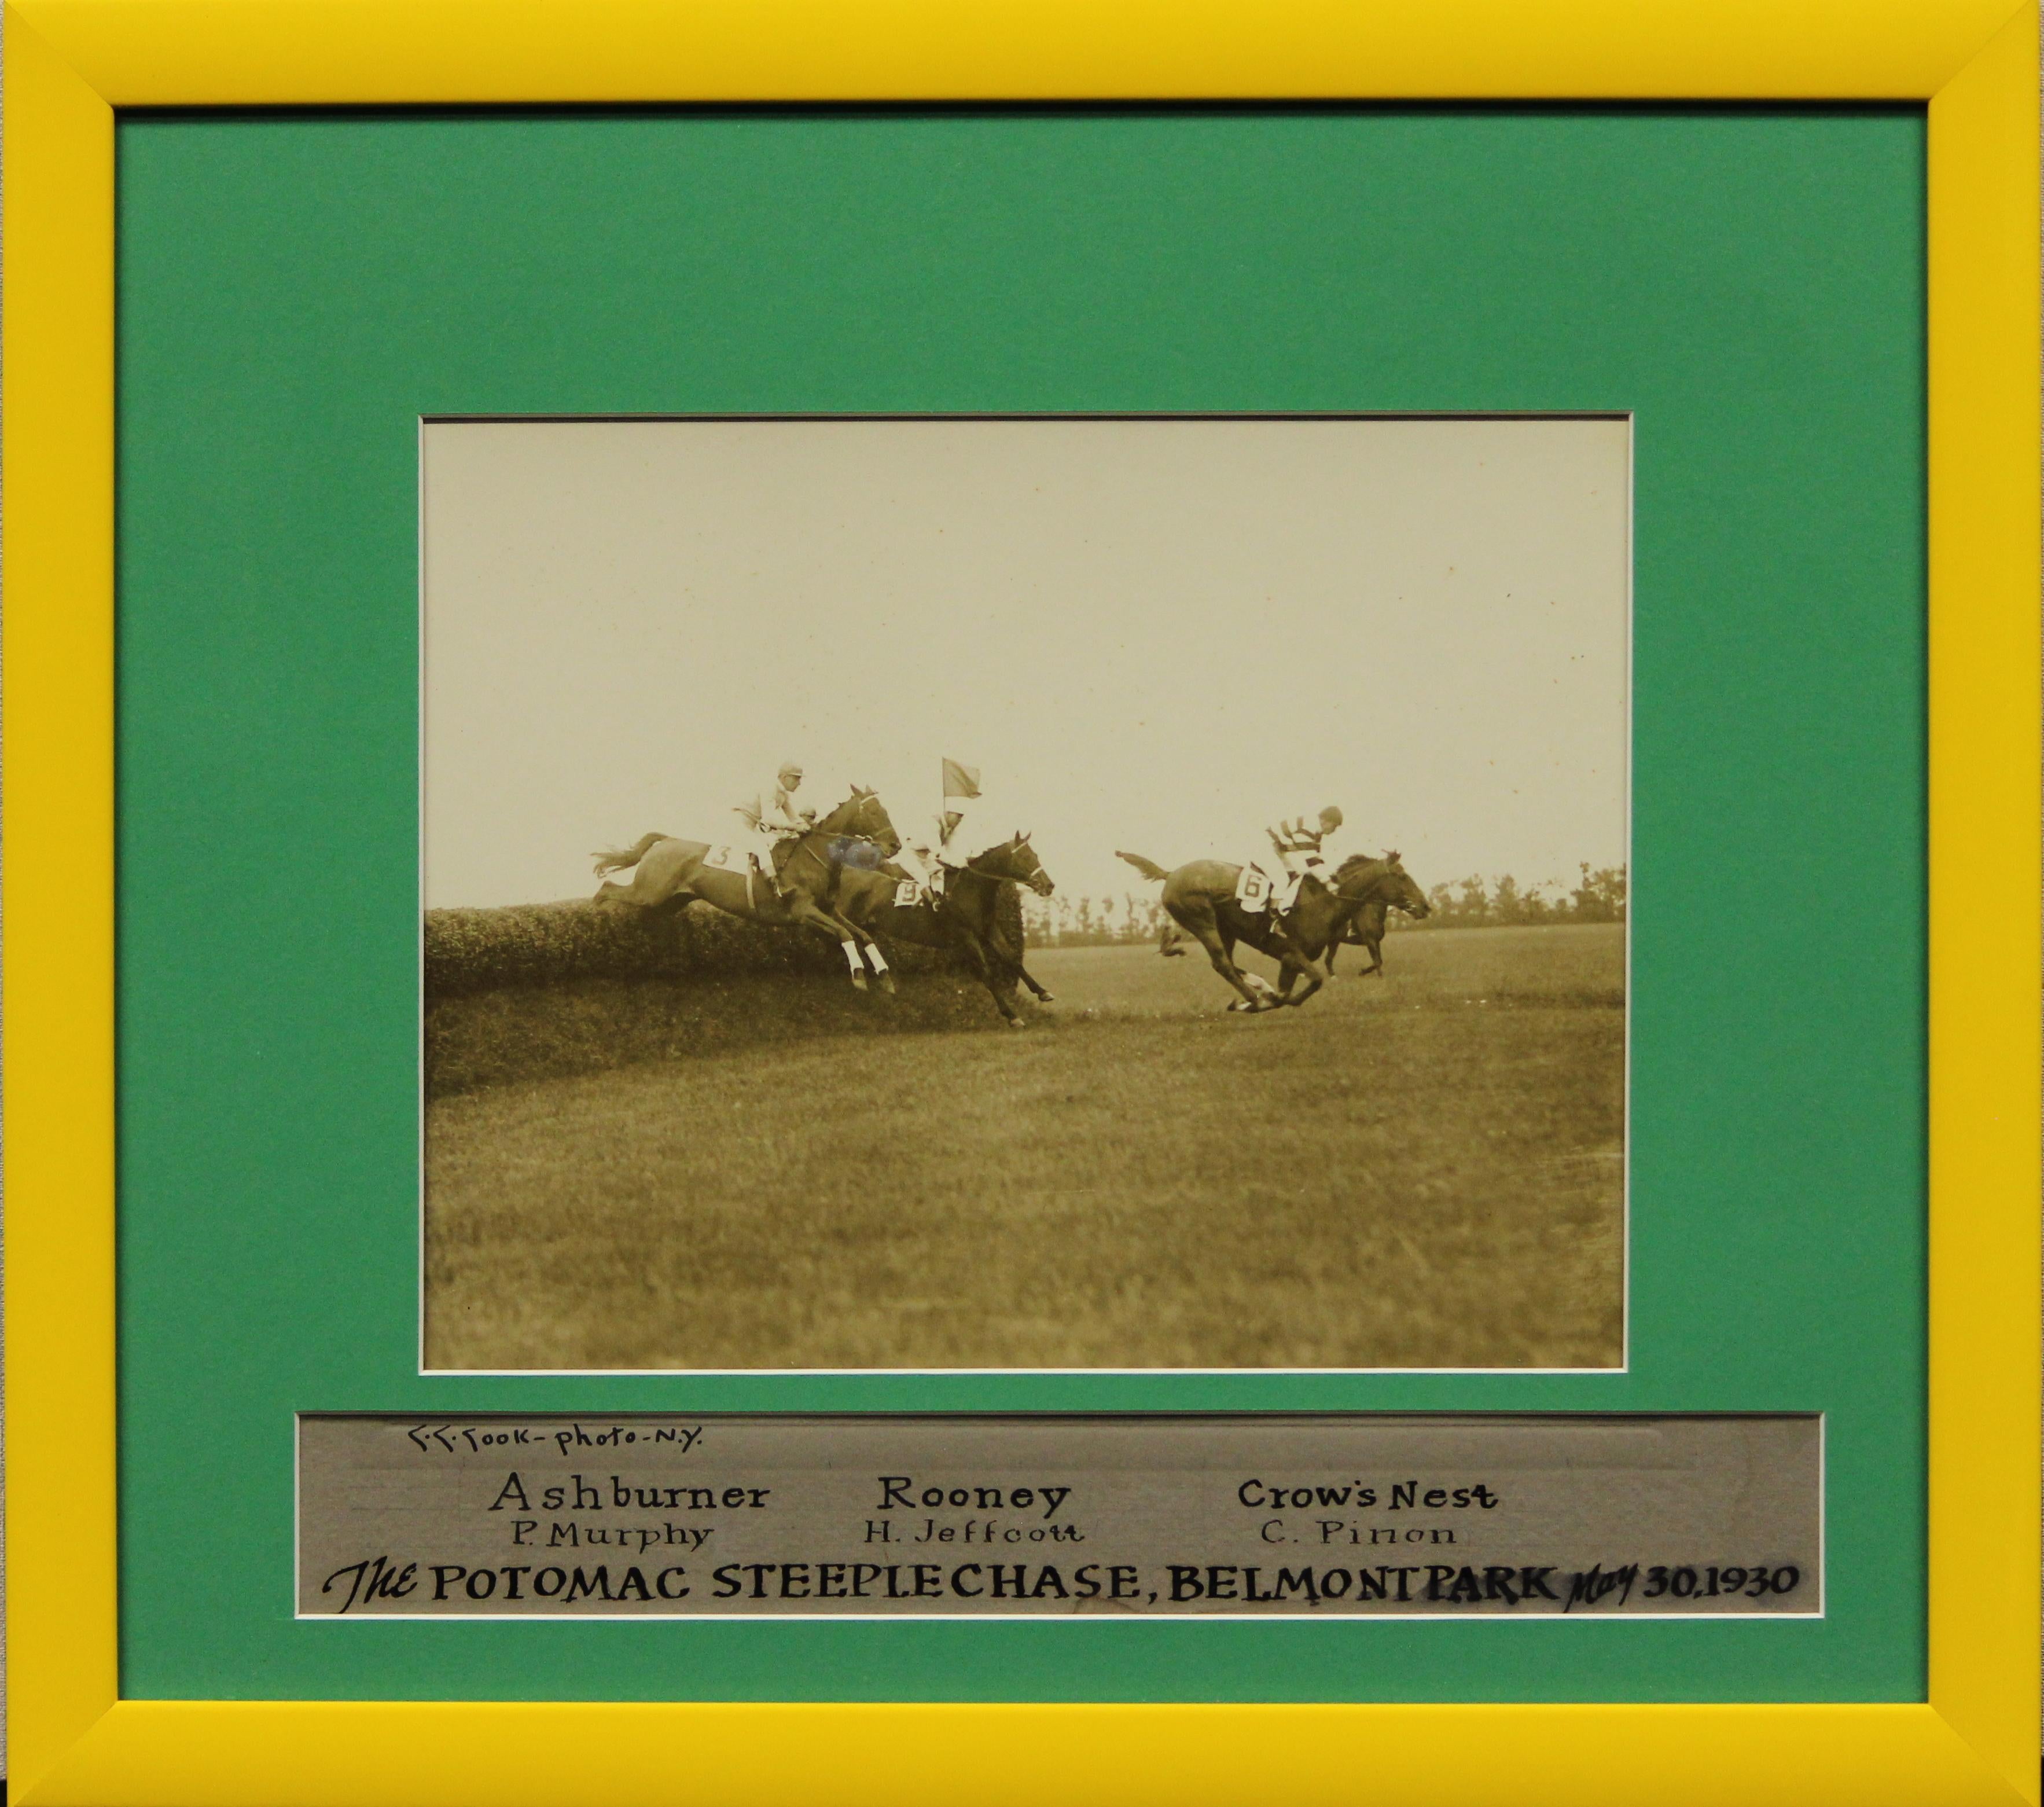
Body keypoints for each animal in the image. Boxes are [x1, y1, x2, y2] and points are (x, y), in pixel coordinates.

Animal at [597, 789, 907, 989]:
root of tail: (667, 840)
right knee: (608, 887)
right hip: (649, 892)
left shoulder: (828, 910)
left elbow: (864, 935)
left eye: (886, 811)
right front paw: (859, 975)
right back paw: (599, 910)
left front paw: (885, 976)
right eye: (875, 812)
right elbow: (846, 935)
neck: (815, 856)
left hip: (669, 901)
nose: (895, 846)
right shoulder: (803, 911)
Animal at [1112, 842, 1431, 1001]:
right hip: (1203, 921)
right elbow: (1311, 982)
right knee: (1222, 964)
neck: (1324, 903)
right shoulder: (1291, 952)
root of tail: (1171, 874)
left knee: (1227, 963)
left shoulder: (1291, 960)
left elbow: (1302, 985)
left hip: (1225, 928)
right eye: (1402, 876)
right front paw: (1274, 997)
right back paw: (1253, 999)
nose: (1425, 906)